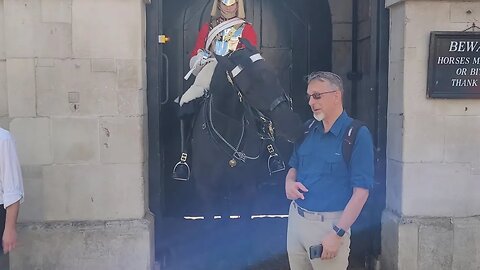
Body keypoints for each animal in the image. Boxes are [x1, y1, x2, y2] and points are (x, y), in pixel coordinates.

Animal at [186, 39, 302, 268]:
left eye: (274, 76)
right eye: (249, 89)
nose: (293, 126)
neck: (226, 129)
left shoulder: (247, 187)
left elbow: (244, 226)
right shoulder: (207, 189)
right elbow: (211, 228)